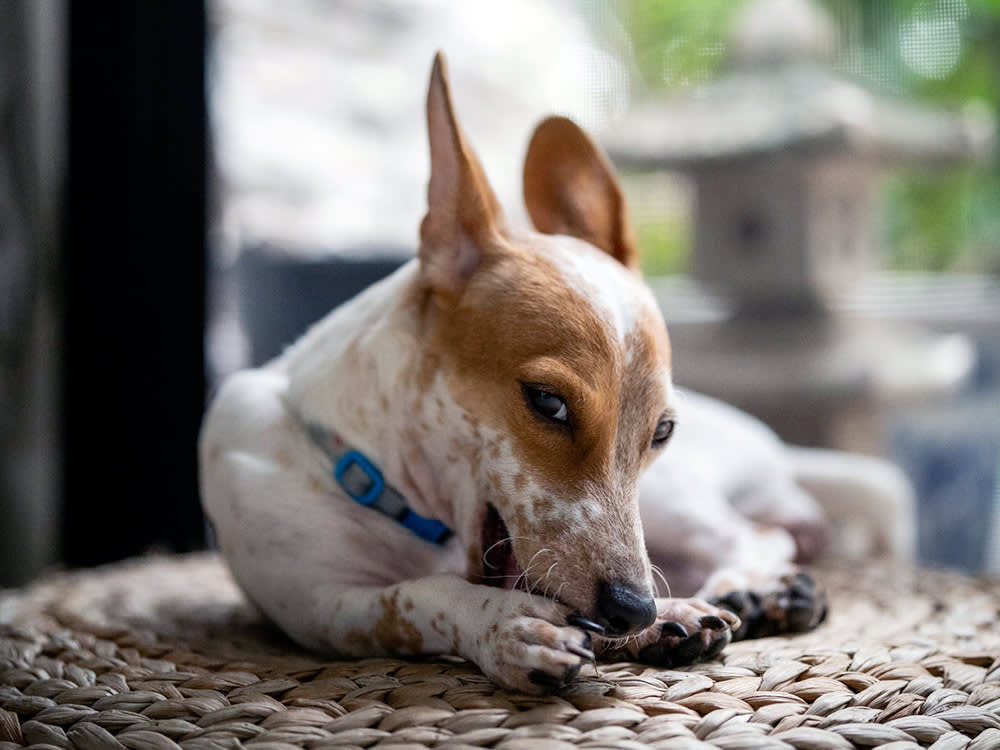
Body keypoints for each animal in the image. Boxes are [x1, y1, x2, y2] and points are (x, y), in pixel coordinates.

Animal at [201, 54, 828, 700]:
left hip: (670, 504)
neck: (370, 469)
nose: (633, 611)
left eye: (662, 431)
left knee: (757, 536)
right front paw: (510, 628)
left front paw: (667, 617)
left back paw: (753, 590)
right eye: (548, 402)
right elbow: (422, 596)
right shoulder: (322, 606)